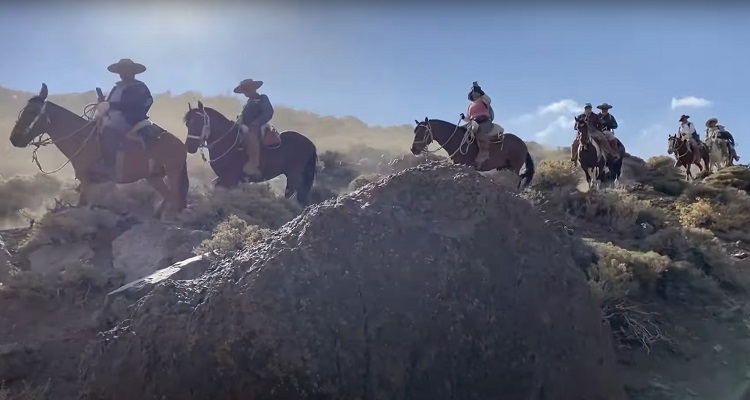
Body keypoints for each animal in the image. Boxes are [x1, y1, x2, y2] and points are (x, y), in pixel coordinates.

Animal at [9, 82, 189, 217]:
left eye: (32, 111)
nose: (14, 139)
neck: (81, 138)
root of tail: (180, 143)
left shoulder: (86, 181)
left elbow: (82, 206)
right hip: (154, 177)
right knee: (168, 196)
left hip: (173, 171)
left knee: (174, 197)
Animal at [187, 100, 320, 206]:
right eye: (188, 124)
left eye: (200, 121)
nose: (190, 146)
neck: (227, 140)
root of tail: (310, 143)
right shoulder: (224, 179)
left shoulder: (230, 179)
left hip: (295, 175)